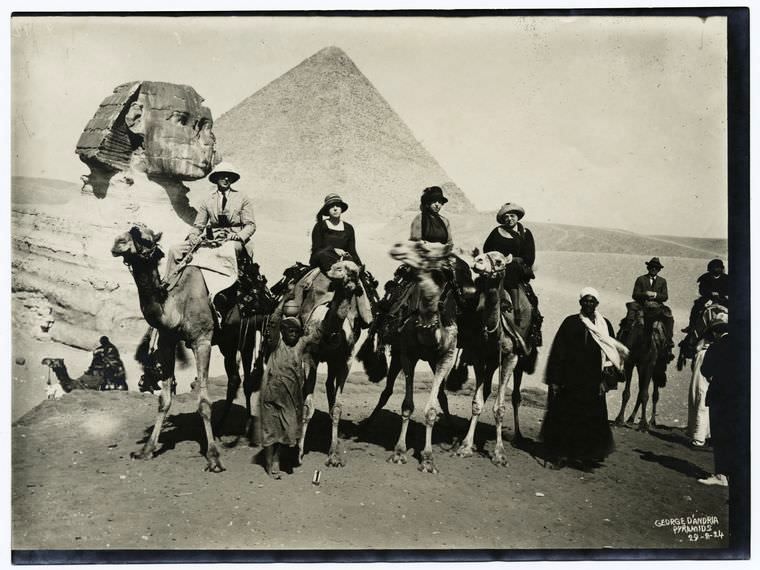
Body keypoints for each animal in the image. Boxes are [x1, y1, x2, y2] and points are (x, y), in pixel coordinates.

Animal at [111, 223, 268, 470]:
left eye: (145, 238)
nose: (118, 243)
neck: (176, 305)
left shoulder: (202, 341)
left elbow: (203, 402)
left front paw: (213, 457)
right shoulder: (167, 340)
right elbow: (164, 399)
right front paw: (146, 450)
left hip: (247, 334)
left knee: (248, 381)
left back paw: (245, 435)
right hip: (227, 341)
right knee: (234, 378)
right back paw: (221, 429)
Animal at [296, 260, 366, 464]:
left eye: (352, 270)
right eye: (337, 266)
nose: (329, 270)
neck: (329, 331)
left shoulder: (345, 361)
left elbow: (338, 407)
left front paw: (334, 454)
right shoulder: (309, 357)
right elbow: (307, 407)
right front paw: (298, 452)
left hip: (333, 363)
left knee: (329, 385)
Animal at [454, 251, 536, 464]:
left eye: (498, 261)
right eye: (481, 254)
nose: (478, 261)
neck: (495, 328)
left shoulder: (510, 357)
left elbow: (499, 407)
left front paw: (499, 453)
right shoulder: (479, 356)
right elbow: (477, 402)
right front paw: (465, 446)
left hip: (521, 359)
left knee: (515, 396)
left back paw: (518, 436)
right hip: (491, 362)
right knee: (487, 390)